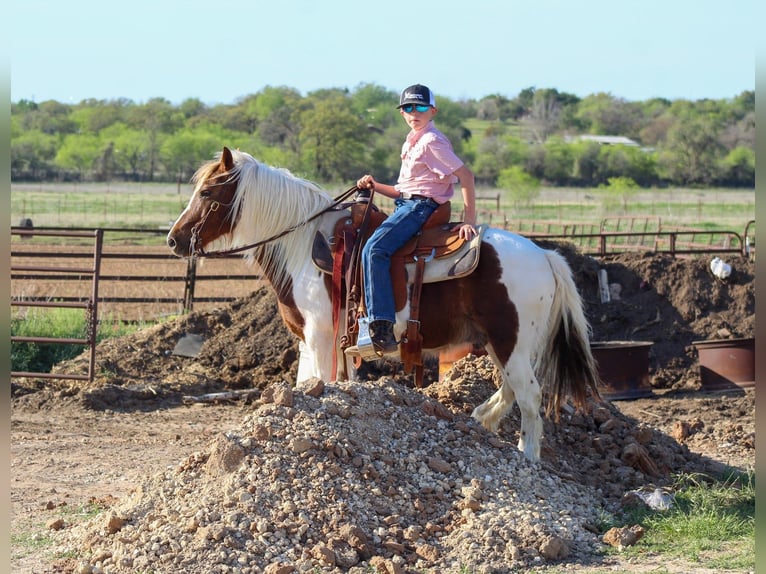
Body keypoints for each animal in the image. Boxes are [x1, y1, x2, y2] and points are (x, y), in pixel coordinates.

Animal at [167, 147, 601, 461]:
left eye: (207, 192)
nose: (174, 239)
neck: (305, 245)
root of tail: (545, 255)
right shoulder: (319, 340)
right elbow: (320, 383)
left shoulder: (320, 335)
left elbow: (319, 382)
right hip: (505, 344)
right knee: (513, 390)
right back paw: (483, 420)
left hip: (510, 340)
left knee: (529, 396)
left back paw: (527, 458)